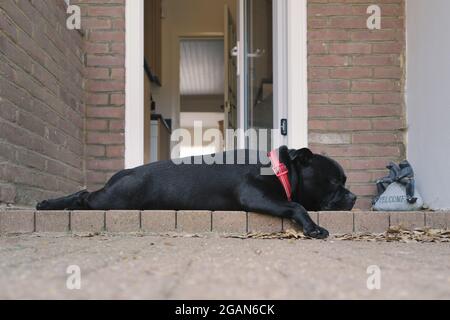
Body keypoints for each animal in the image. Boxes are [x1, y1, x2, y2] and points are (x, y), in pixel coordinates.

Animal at [37, 146, 356, 239]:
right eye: (334, 182)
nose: (353, 197)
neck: (282, 169)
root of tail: (126, 172)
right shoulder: (256, 195)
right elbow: (296, 206)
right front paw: (313, 228)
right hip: (115, 199)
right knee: (83, 196)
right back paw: (50, 204)